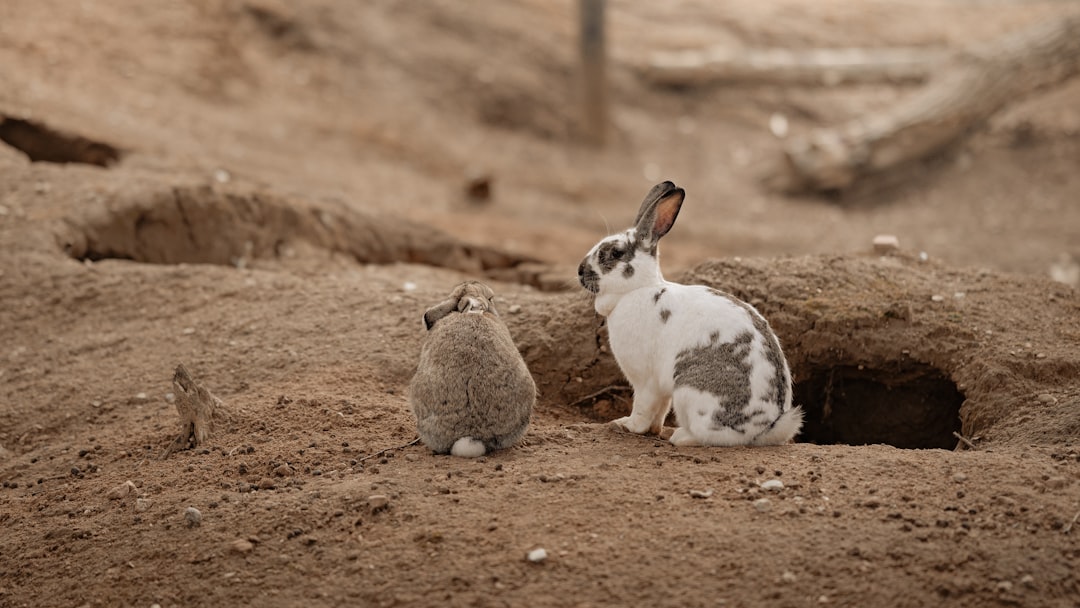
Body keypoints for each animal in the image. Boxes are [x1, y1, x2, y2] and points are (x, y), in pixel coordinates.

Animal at [574, 180, 803, 447]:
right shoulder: (660, 390)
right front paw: (653, 430)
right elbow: (660, 409)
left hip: (690, 392)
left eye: (615, 253)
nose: (580, 271)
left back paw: (680, 436)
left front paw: (627, 426)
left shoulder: (646, 382)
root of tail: (766, 428)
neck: (636, 289)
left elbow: (642, 407)